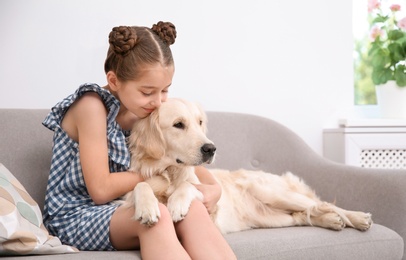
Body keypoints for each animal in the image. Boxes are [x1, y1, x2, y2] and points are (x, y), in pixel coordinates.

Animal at [124, 97, 374, 234]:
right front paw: (147, 208)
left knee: (322, 204)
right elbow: (139, 186)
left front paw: (176, 203)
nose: (211, 149)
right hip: (275, 218)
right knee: (306, 214)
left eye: (200, 122)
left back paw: (358, 218)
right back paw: (331, 221)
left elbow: (188, 186)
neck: (170, 172)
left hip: (274, 194)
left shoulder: (212, 210)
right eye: (178, 124)